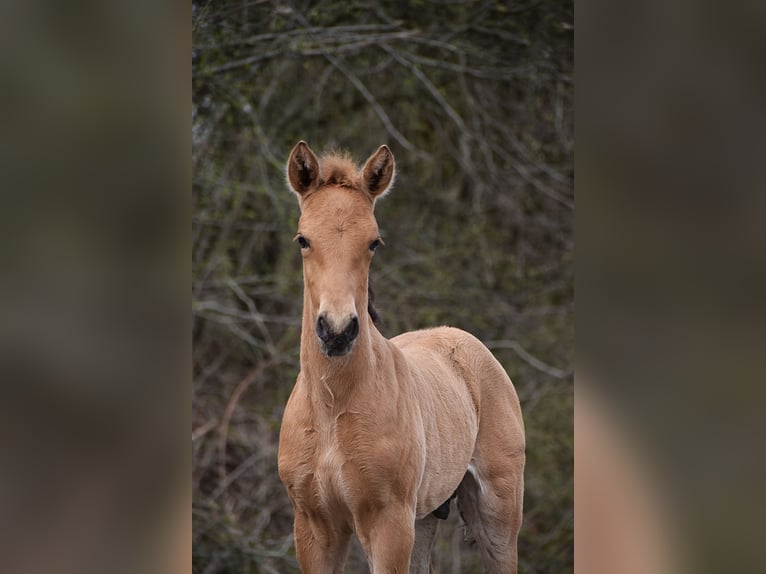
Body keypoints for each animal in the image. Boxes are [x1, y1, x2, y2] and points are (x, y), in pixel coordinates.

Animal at [277, 141, 525, 573]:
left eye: (373, 242)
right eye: (303, 239)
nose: (337, 331)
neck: (332, 408)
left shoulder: (387, 523)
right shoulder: (313, 527)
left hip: (497, 513)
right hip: (424, 517)